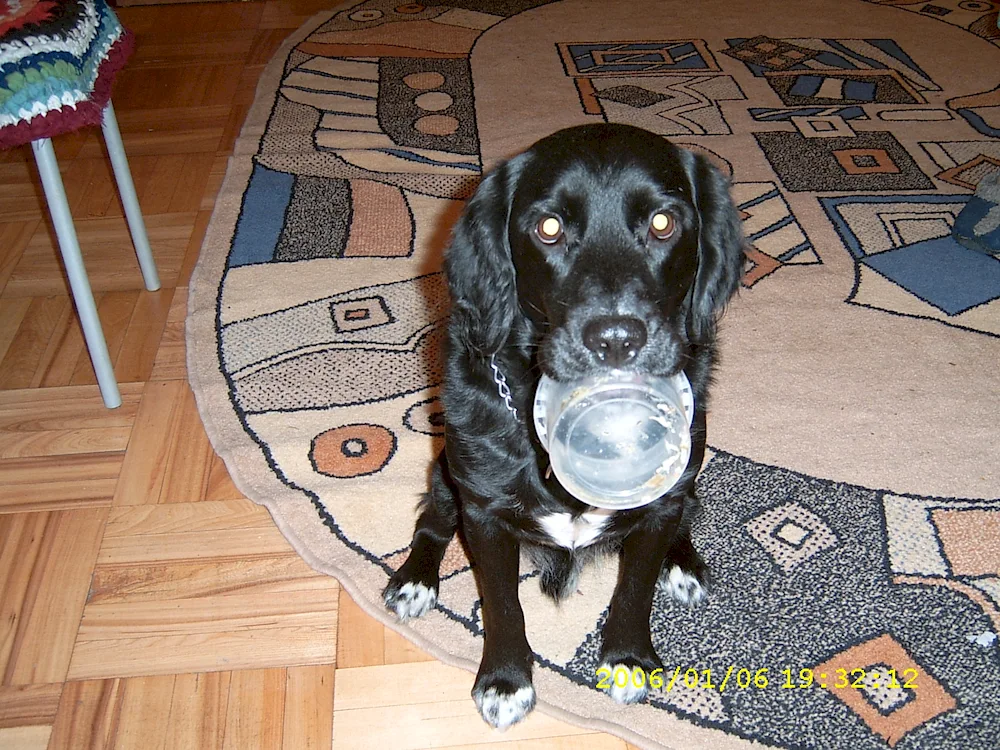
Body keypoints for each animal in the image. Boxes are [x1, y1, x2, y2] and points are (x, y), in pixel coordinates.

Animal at [386, 126, 748, 732]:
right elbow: (503, 604)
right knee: (431, 523)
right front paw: (506, 680)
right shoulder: (483, 512)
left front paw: (627, 659)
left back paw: (683, 563)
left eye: (663, 222)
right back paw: (415, 579)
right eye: (549, 228)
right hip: (446, 475)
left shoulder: (660, 502)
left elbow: (635, 589)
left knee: (683, 517)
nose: (616, 338)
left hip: (687, 480)